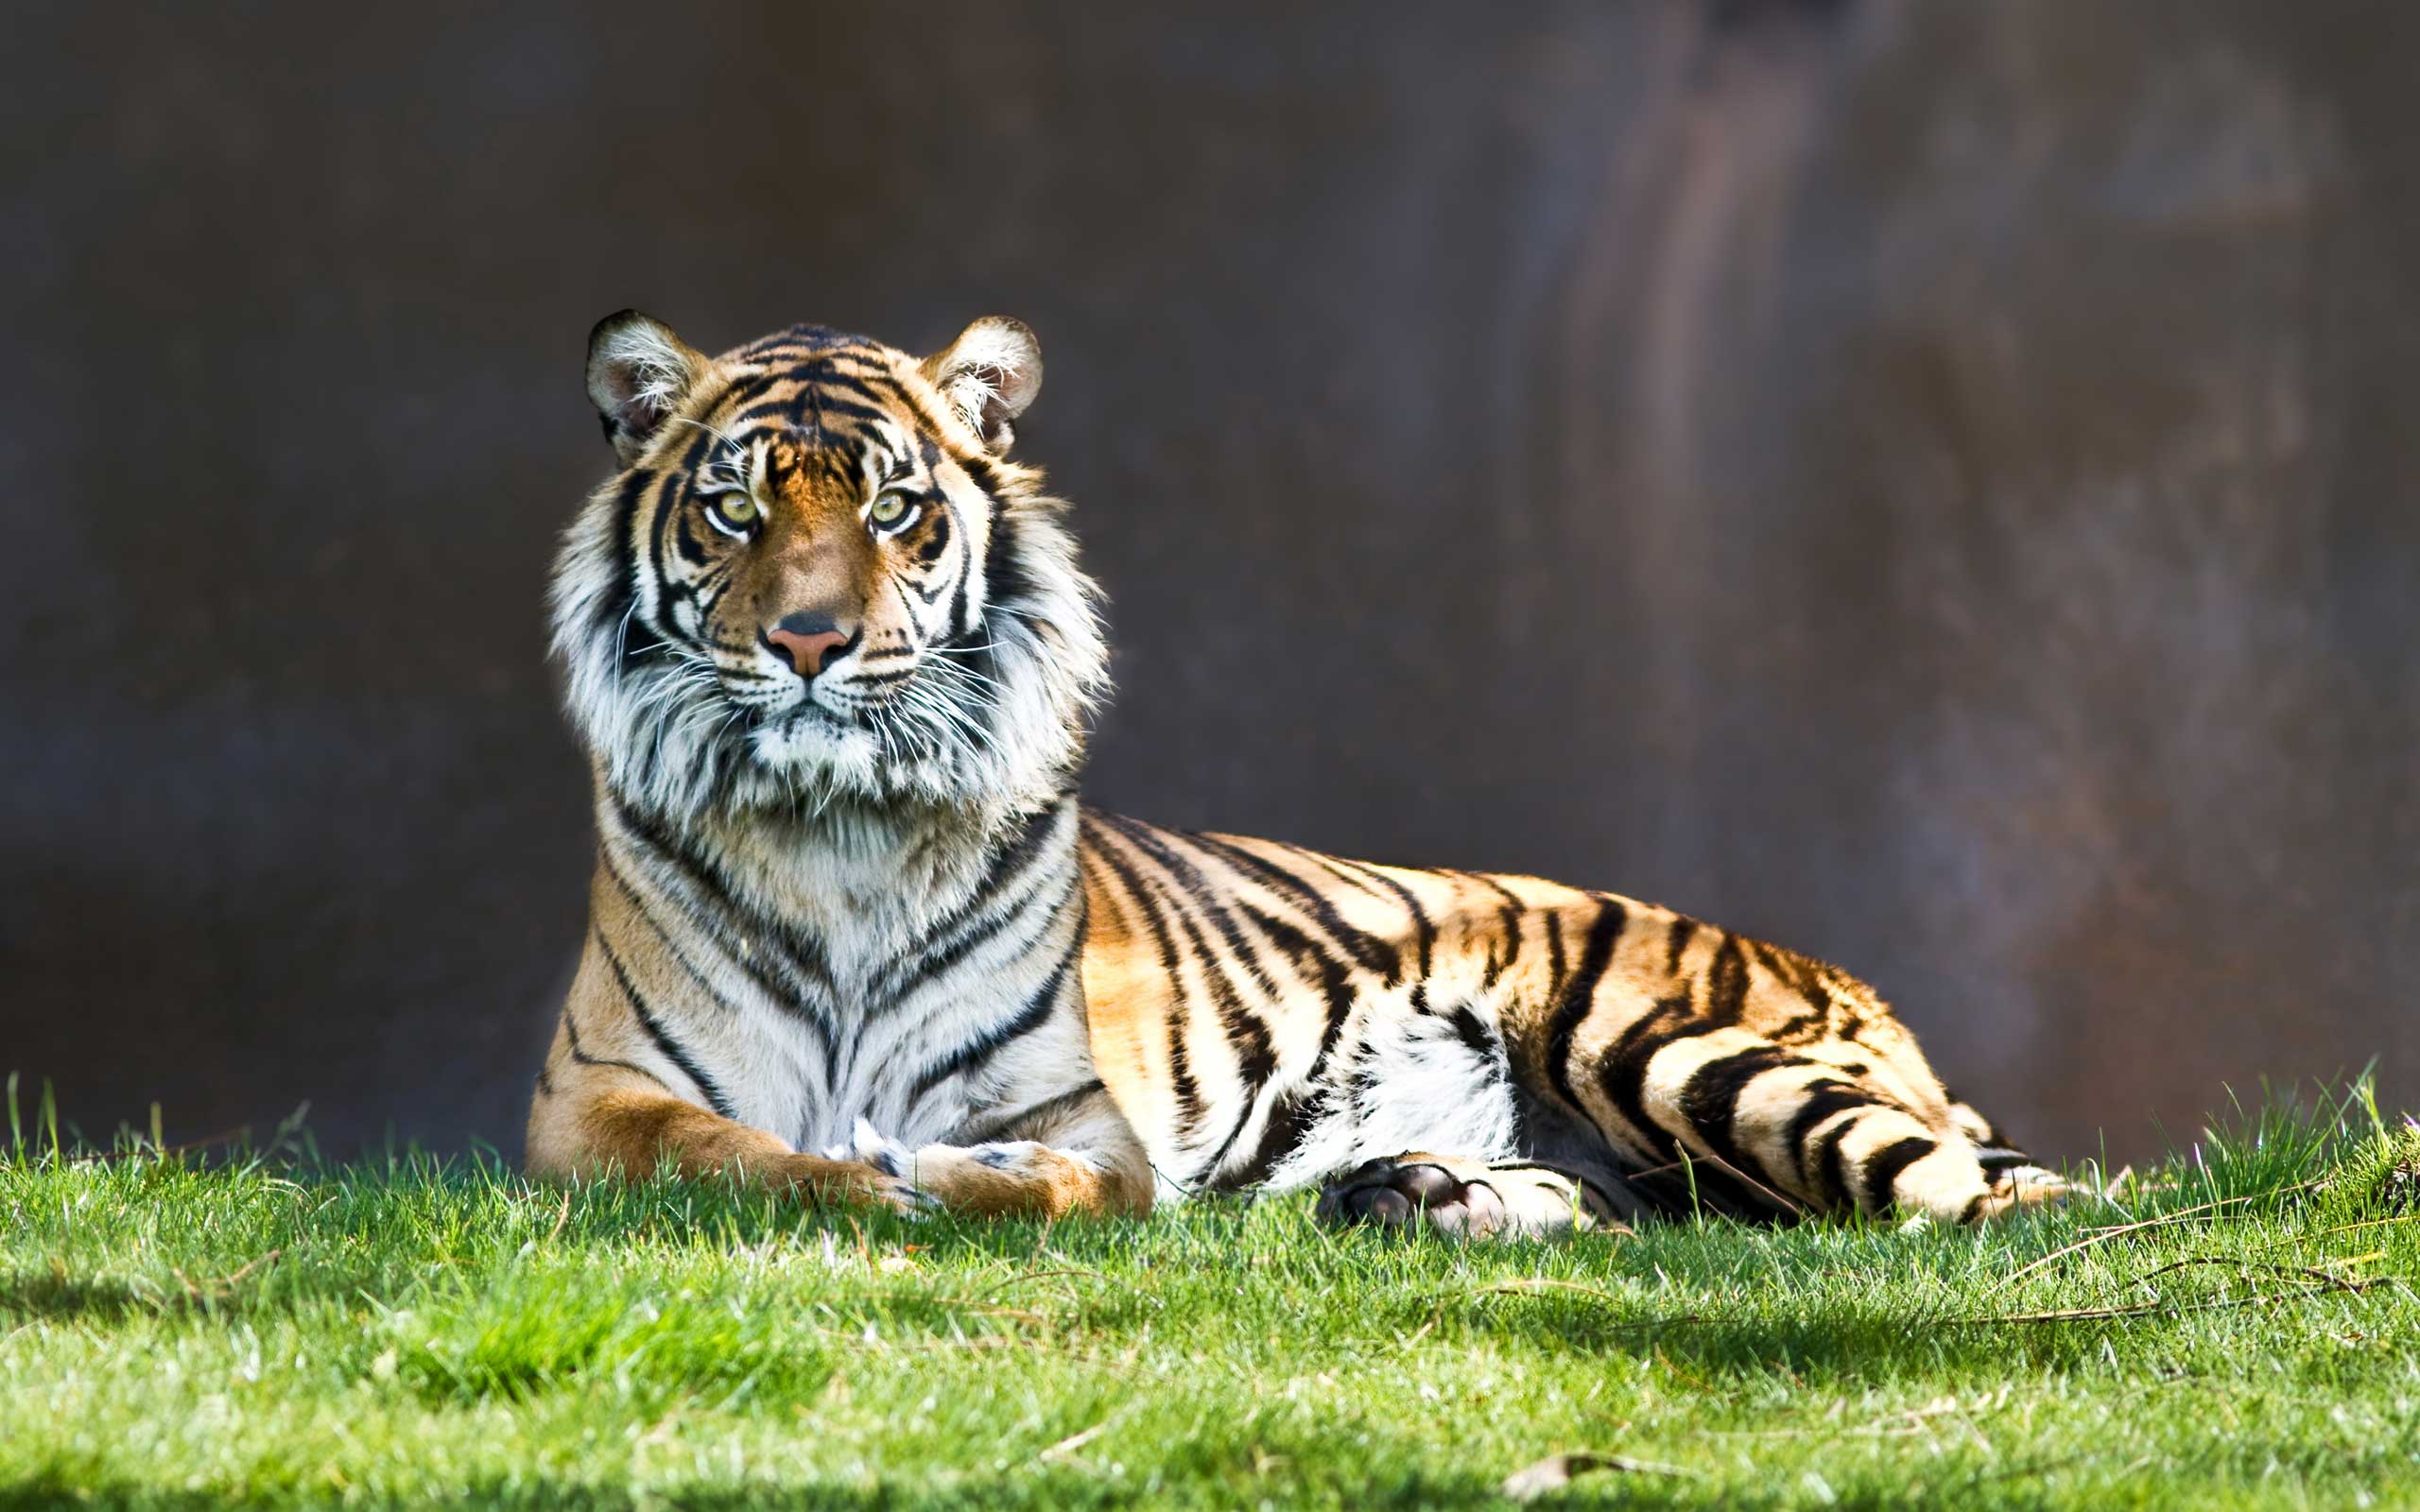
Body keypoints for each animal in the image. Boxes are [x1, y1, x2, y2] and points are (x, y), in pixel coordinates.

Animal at [523, 310, 2067, 1237]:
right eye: (734, 510)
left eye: (896, 508)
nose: (808, 640)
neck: (838, 834)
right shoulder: (589, 1106)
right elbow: (739, 1156)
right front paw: (867, 1175)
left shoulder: (1082, 1117)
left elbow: (1052, 1185)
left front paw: (939, 1174)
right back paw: (1419, 1192)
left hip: (1679, 1049)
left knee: (1987, 1204)